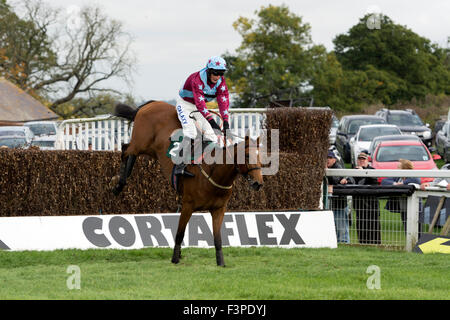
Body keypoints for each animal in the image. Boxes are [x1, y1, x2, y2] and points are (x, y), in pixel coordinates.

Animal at [110, 101, 264, 266]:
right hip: (141, 142)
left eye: (260, 156)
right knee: (125, 149)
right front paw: (175, 259)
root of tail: (150, 104)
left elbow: (217, 238)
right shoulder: (187, 205)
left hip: (148, 148)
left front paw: (221, 263)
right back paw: (118, 184)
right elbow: (180, 233)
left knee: (129, 152)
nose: (258, 183)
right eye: (246, 156)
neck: (213, 172)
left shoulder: (219, 209)